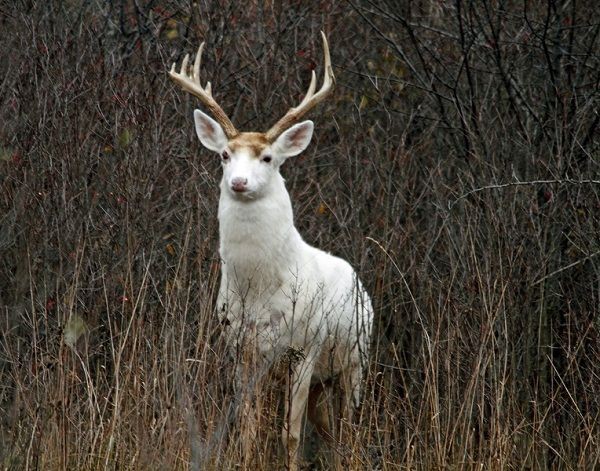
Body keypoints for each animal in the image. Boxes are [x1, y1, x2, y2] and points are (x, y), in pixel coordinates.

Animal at [170, 32, 376, 468]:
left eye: (267, 157)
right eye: (225, 155)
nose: (239, 182)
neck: (261, 288)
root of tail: (359, 283)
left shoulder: (304, 347)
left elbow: (290, 434)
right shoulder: (240, 349)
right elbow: (247, 427)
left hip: (355, 359)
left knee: (350, 426)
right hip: (323, 378)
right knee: (330, 431)